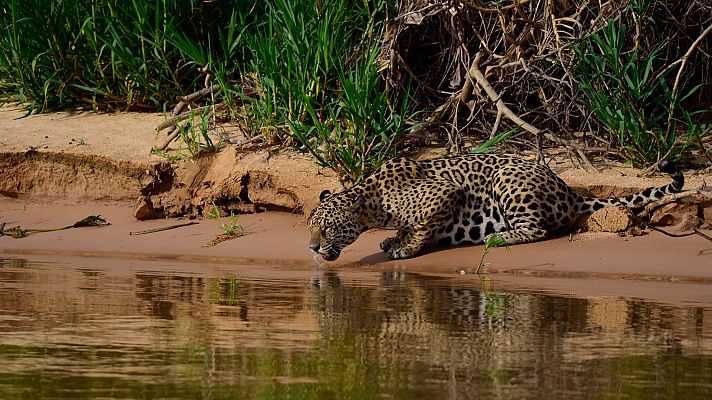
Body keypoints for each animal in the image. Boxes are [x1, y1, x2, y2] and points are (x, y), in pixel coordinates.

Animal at [308, 154, 684, 261]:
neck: (373, 199)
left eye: (327, 229)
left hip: (508, 177)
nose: (311, 248)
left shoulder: (445, 193)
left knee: (537, 229)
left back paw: (498, 237)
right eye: (311, 228)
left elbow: (421, 226)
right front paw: (393, 240)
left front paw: (406, 247)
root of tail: (570, 192)